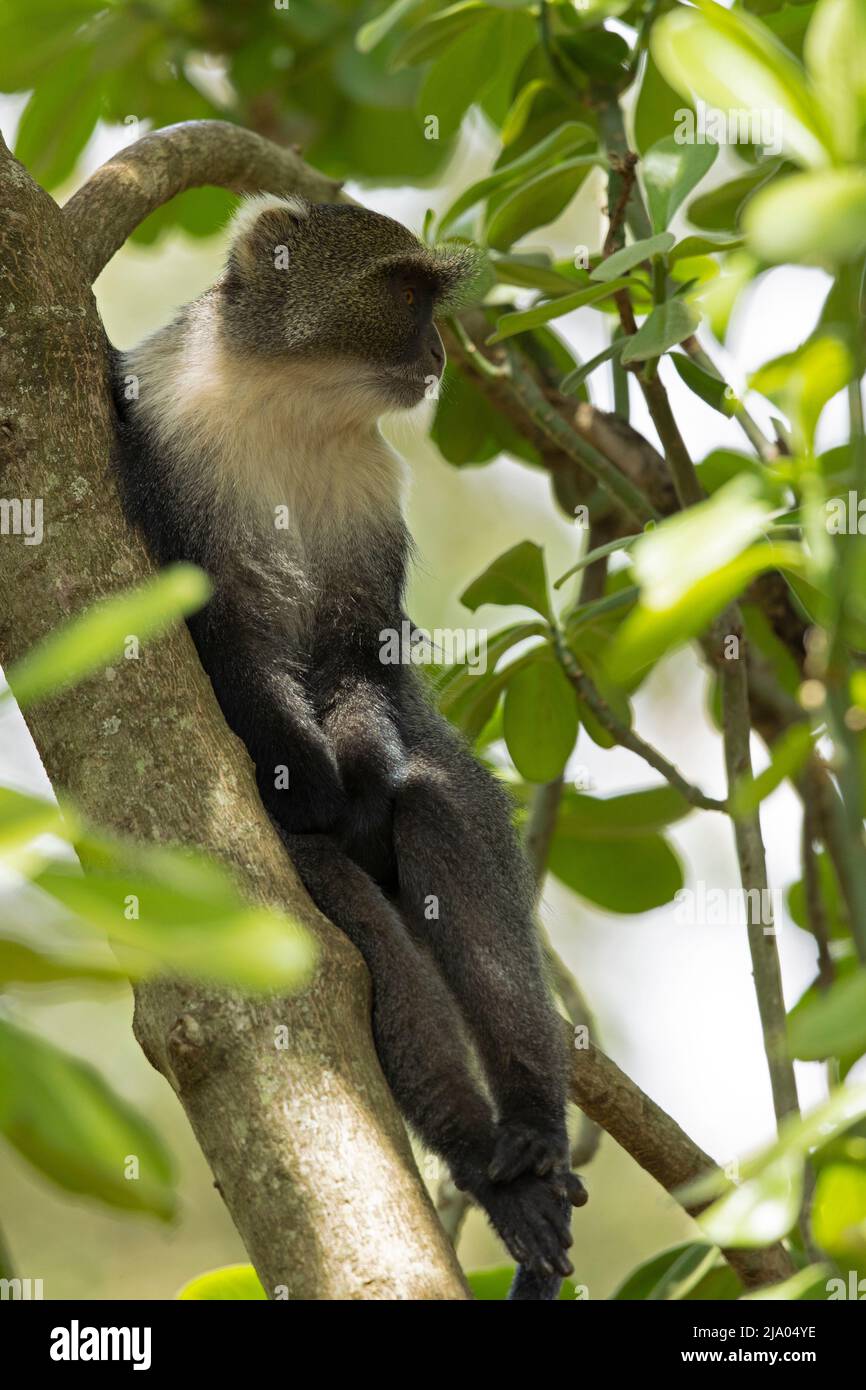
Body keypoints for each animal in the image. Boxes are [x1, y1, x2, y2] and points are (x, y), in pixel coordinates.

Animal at [107, 190, 583, 1295]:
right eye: (405, 296)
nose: (442, 353)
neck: (289, 403)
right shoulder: (164, 444)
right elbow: (225, 640)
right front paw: (315, 786)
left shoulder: (368, 505)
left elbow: (357, 653)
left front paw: (360, 767)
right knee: (347, 922)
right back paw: (483, 1157)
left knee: (443, 809)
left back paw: (530, 1143)